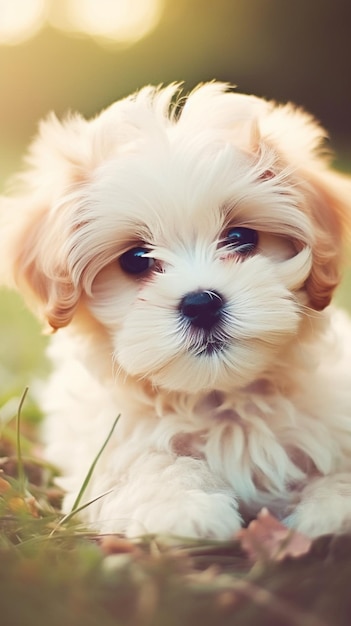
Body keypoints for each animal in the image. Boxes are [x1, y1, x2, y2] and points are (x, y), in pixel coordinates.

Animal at [2, 83, 351, 540]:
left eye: (240, 237)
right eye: (135, 260)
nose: (201, 304)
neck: (220, 397)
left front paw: (332, 509)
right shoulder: (112, 443)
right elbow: (145, 465)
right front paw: (182, 509)